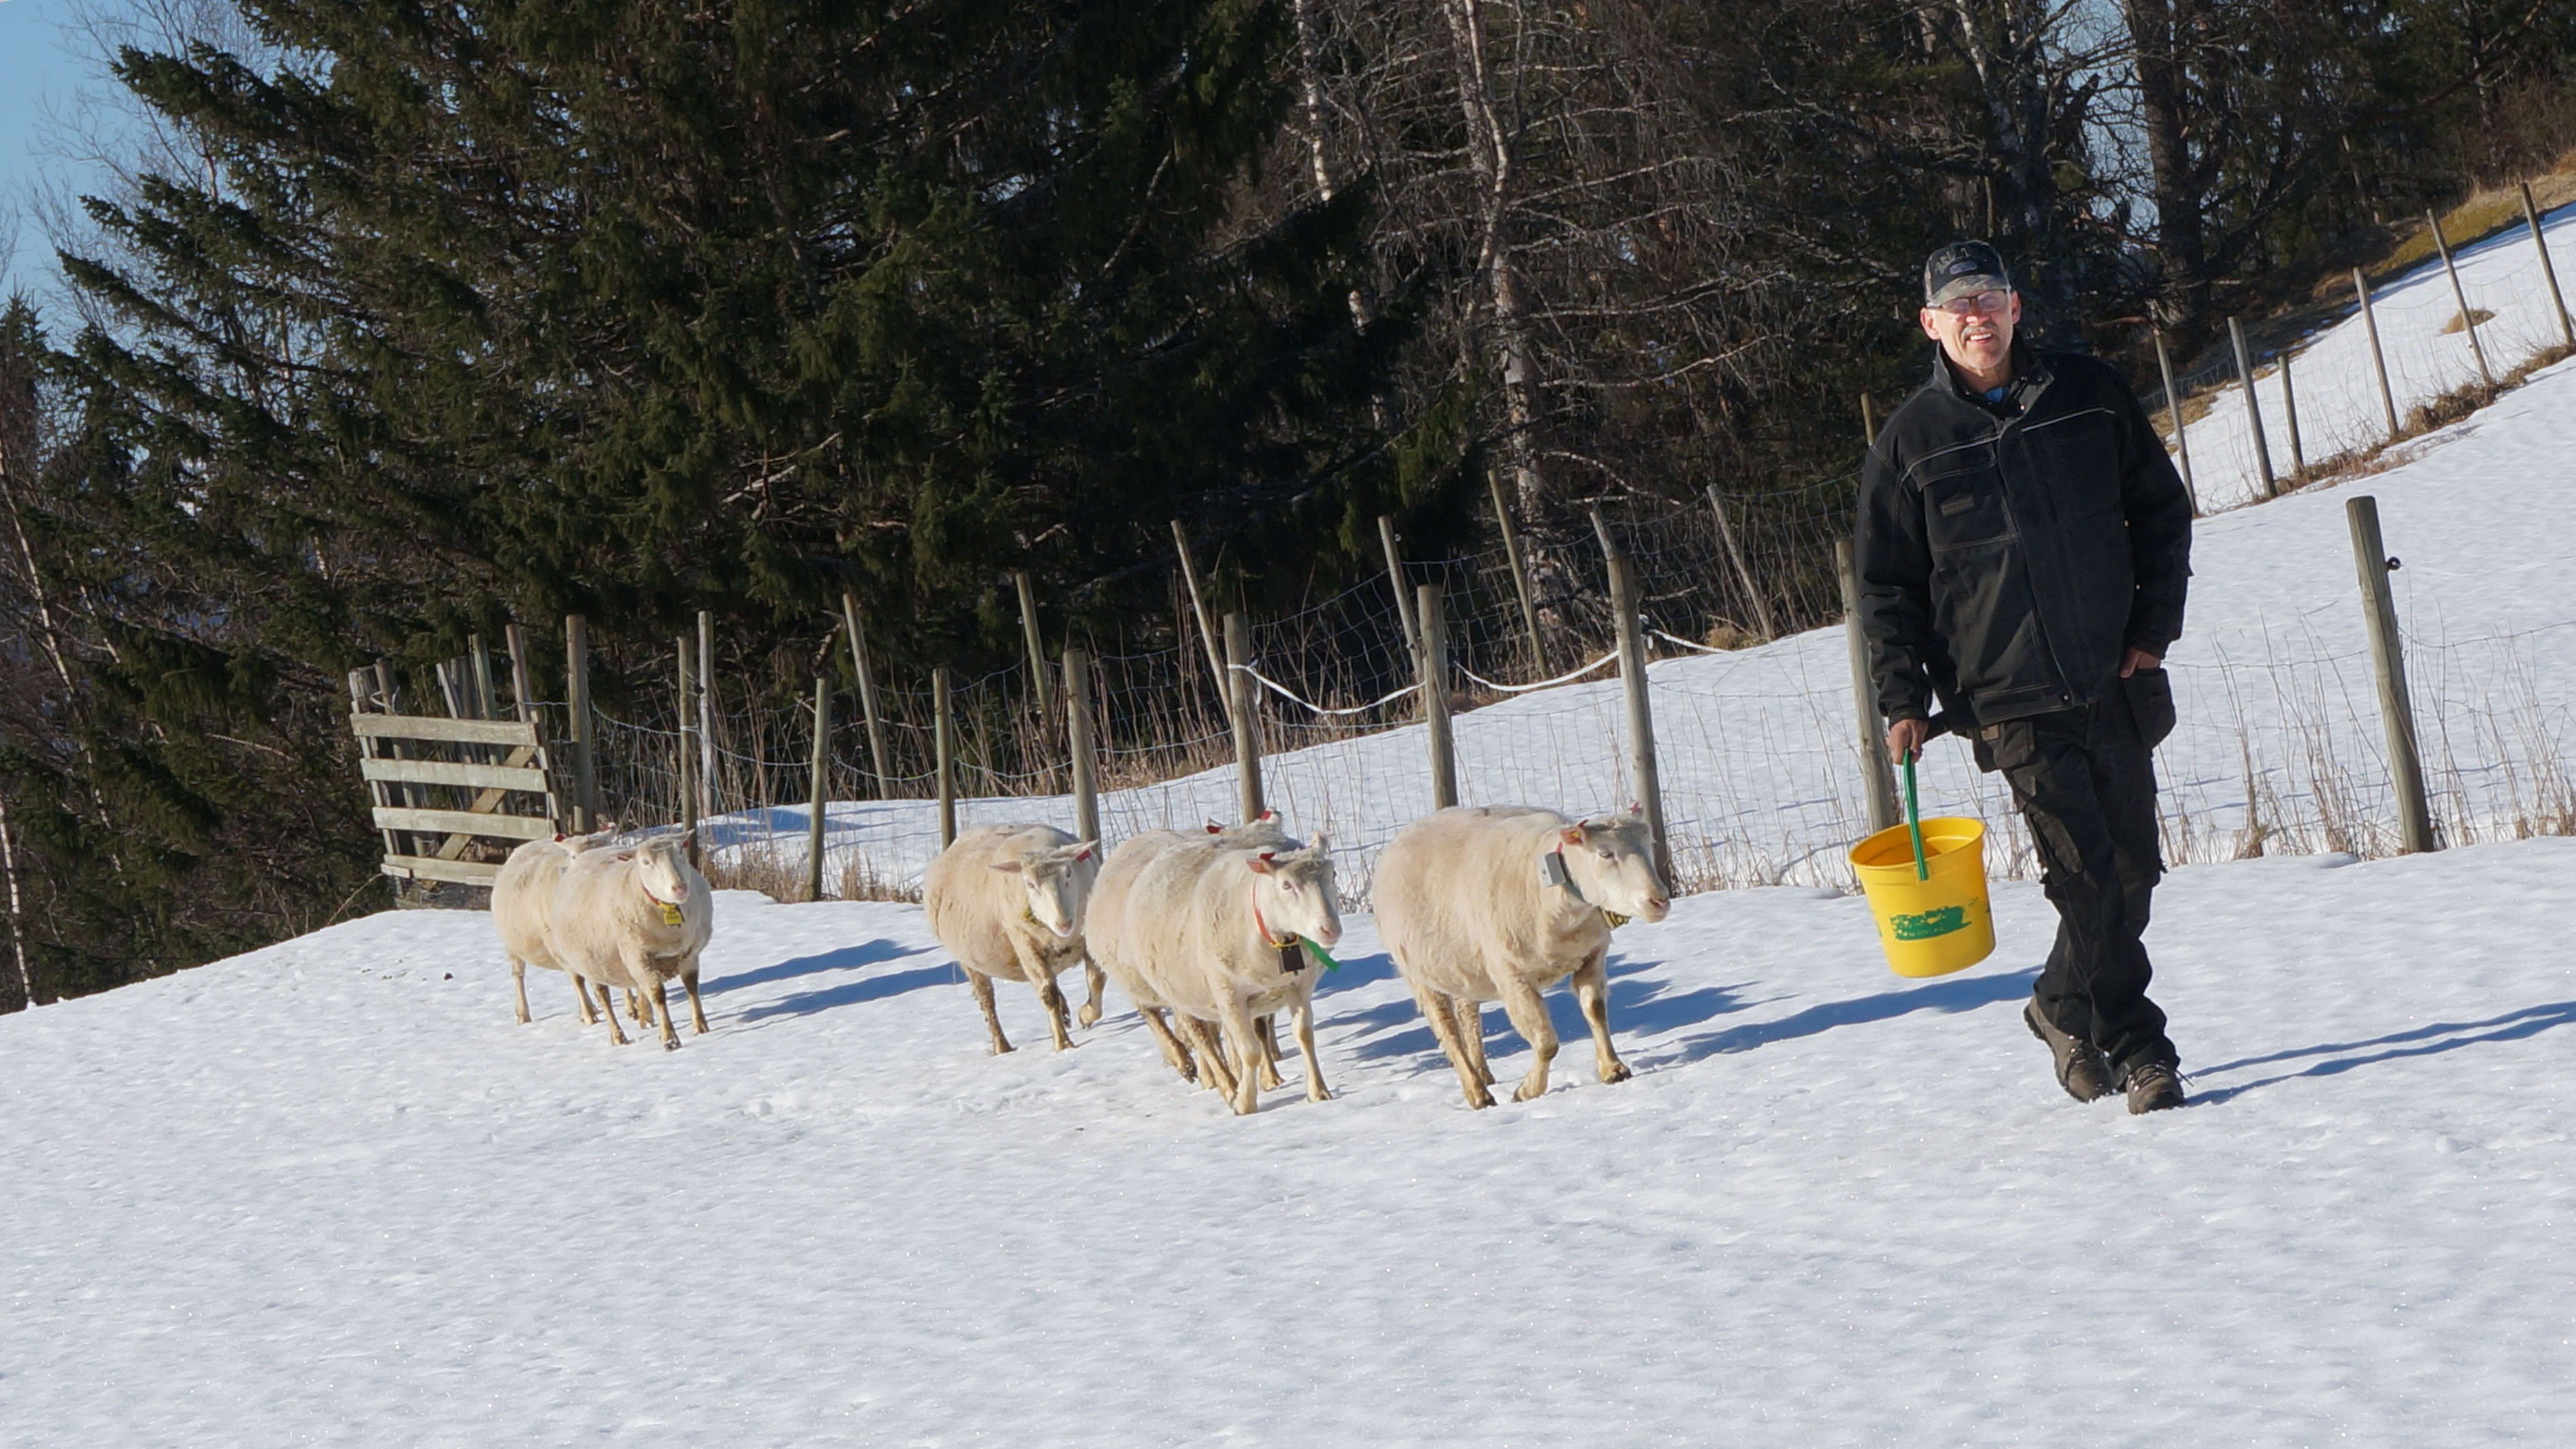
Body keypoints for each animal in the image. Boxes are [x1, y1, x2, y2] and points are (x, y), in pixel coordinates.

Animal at [548, 830, 716, 1042]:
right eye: (645, 862)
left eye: (680, 851)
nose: (680, 888)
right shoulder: (637, 956)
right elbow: (657, 994)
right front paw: (669, 1038)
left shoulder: (690, 952)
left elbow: (692, 986)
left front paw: (701, 1026)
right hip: (590, 961)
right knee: (603, 996)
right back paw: (618, 1036)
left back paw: (644, 1017)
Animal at [917, 825, 1097, 1046]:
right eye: (1029, 884)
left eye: (1069, 874)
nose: (1064, 923)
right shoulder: (1023, 942)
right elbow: (1048, 994)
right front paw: (1063, 1044)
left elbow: (1095, 981)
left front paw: (1085, 1015)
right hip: (971, 963)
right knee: (988, 1001)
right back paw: (1002, 1046)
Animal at [1370, 799, 1669, 1103]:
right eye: (1605, 853)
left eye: (1650, 843)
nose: (1659, 900)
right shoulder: (1512, 974)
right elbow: (1546, 1042)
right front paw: (1527, 1090)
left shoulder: (1592, 954)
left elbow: (1595, 1010)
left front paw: (1613, 1068)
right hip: (1418, 974)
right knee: (1447, 1029)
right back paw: (1478, 1093)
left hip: (1465, 966)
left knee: (1469, 1015)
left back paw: (1483, 1073)